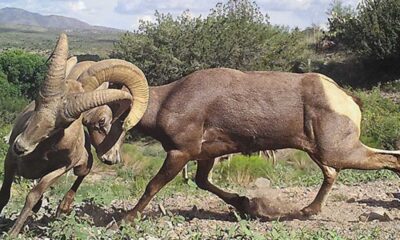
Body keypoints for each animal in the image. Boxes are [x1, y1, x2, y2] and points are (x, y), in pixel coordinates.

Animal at [0, 34, 149, 236]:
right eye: (37, 102)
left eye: (64, 124)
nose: (21, 146)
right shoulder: (10, 160)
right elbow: (4, 194)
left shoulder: (62, 168)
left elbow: (33, 195)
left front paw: (13, 232)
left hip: (82, 164)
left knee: (82, 174)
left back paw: (64, 207)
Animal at [86, 67, 400, 221]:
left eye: (102, 121)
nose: (107, 159)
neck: (170, 102)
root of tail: (347, 99)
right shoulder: (205, 156)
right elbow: (203, 183)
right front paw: (247, 205)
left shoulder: (179, 154)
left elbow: (152, 186)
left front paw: (126, 219)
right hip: (323, 154)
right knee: (332, 174)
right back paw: (307, 211)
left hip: (338, 152)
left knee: (390, 160)